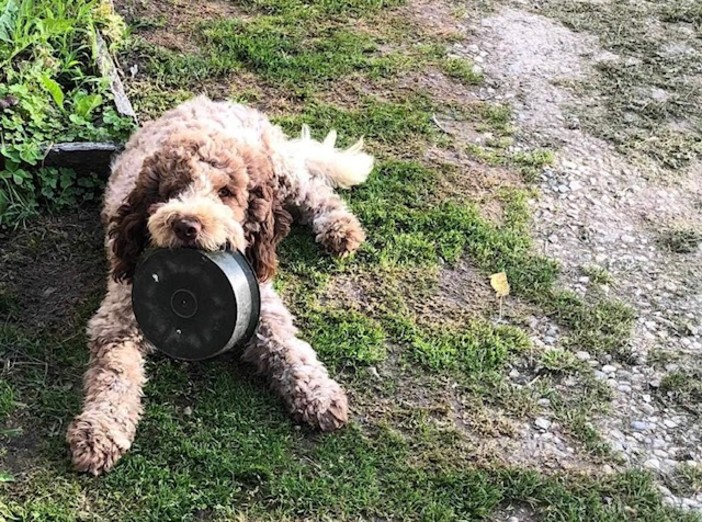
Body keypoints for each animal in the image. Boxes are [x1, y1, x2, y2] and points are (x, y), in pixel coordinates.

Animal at [66, 95, 374, 474]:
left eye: (226, 192)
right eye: (171, 190)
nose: (187, 225)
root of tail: (216, 101)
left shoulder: (262, 303)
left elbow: (287, 345)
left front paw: (318, 392)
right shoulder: (117, 320)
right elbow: (113, 373)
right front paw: (99, 430)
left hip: (283, 172)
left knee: (316, 192)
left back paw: (340, 227)